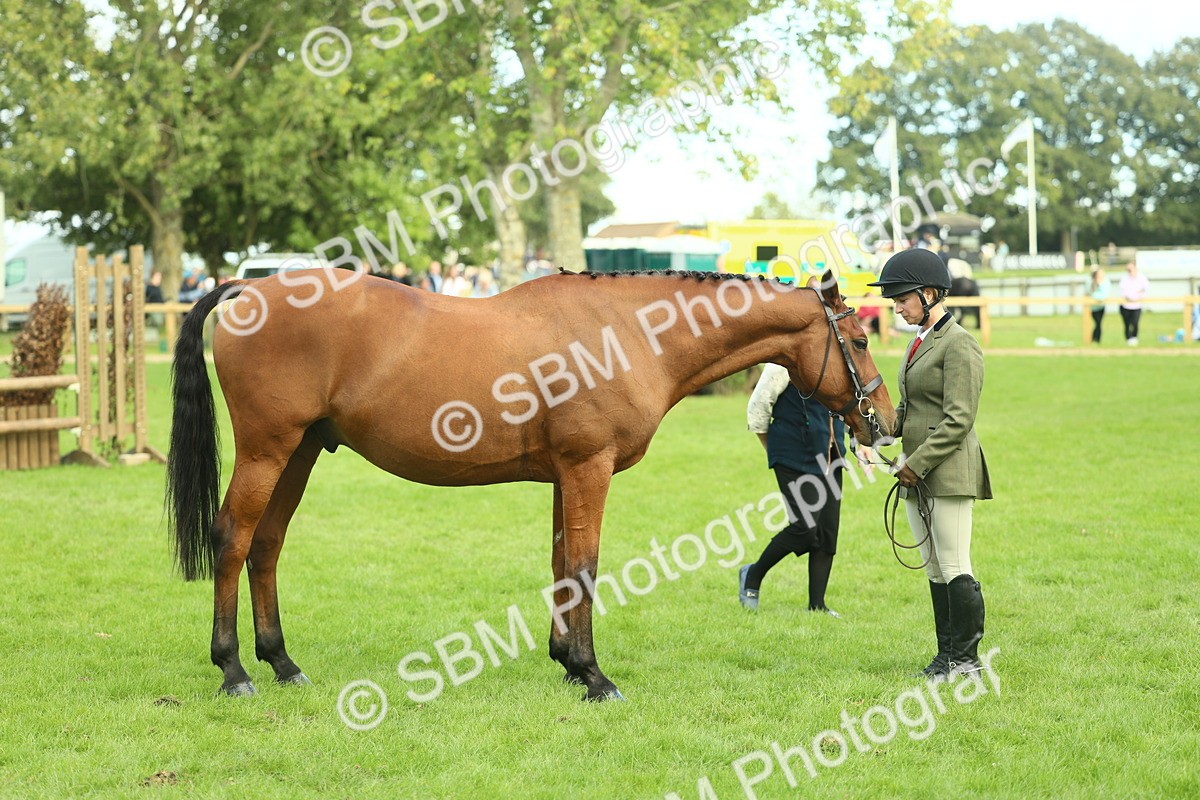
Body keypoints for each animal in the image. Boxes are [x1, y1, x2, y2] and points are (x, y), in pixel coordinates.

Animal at [166, 268, 897, 701]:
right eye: (860, 340)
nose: (885, 423)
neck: (626, 333)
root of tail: (248, 289)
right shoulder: (588, 468)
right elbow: (586, 566)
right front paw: (596, 676)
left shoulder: (563, 476)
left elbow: (561, 565)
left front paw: (566, 661)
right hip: (268, 450)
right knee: (233, 540)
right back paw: (234, 670)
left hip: (301, 452)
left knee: (267, 546)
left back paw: (282, 663)